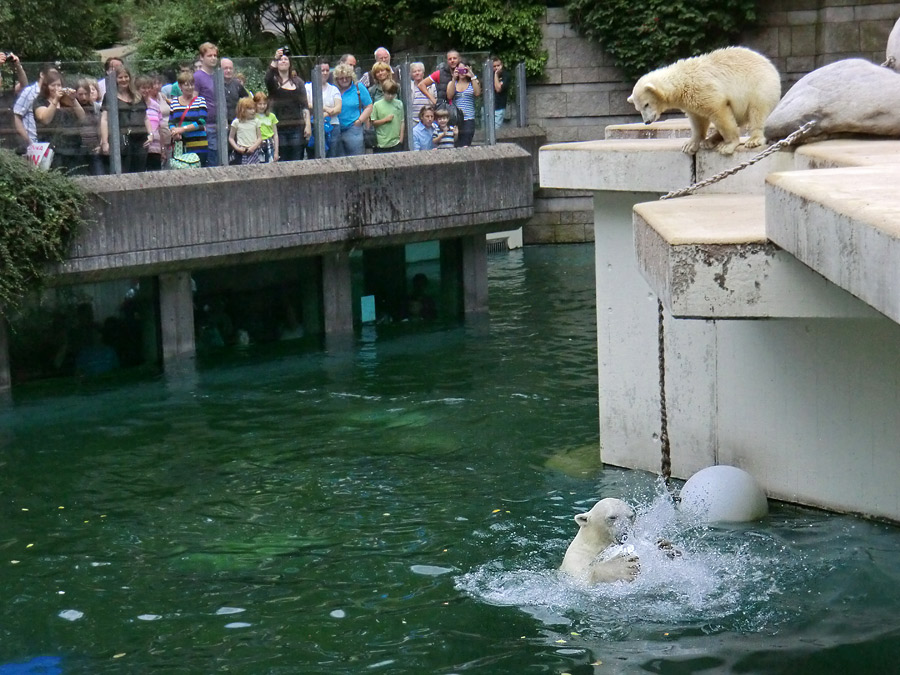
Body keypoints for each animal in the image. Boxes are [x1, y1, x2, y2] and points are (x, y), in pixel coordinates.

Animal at [624, 47, 780, 156]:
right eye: (638, 108)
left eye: (646, 104)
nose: (647, 122)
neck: (681, 80)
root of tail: (772, 68)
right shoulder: (690, 101)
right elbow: (698, 120)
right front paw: (689, 145)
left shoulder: (704, 89)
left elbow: (719, 112)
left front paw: (728, 145)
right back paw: (709, 141)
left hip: (759, 87)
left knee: (758, 111)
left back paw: (753, 140)